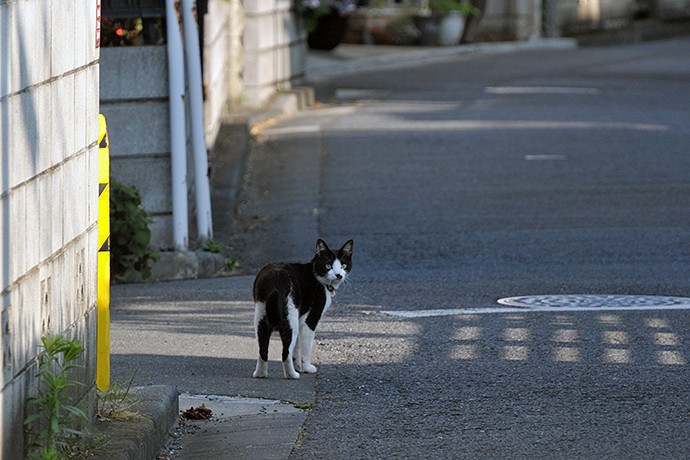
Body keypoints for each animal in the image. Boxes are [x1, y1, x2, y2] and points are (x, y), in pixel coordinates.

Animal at [250, 239, 352, 380]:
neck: (316, 276)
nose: (338, 275)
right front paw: (307, 368)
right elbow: (305, 346)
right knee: (285, 351)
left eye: (343, 265)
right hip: (290, 317)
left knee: (263, 349)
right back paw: (292, 375)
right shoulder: (310, 318)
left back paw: (260, 374)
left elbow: (297, 346)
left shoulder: (300, 318)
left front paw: (298, 365)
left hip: (261, 314)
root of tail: (275, 278)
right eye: (328, 266)